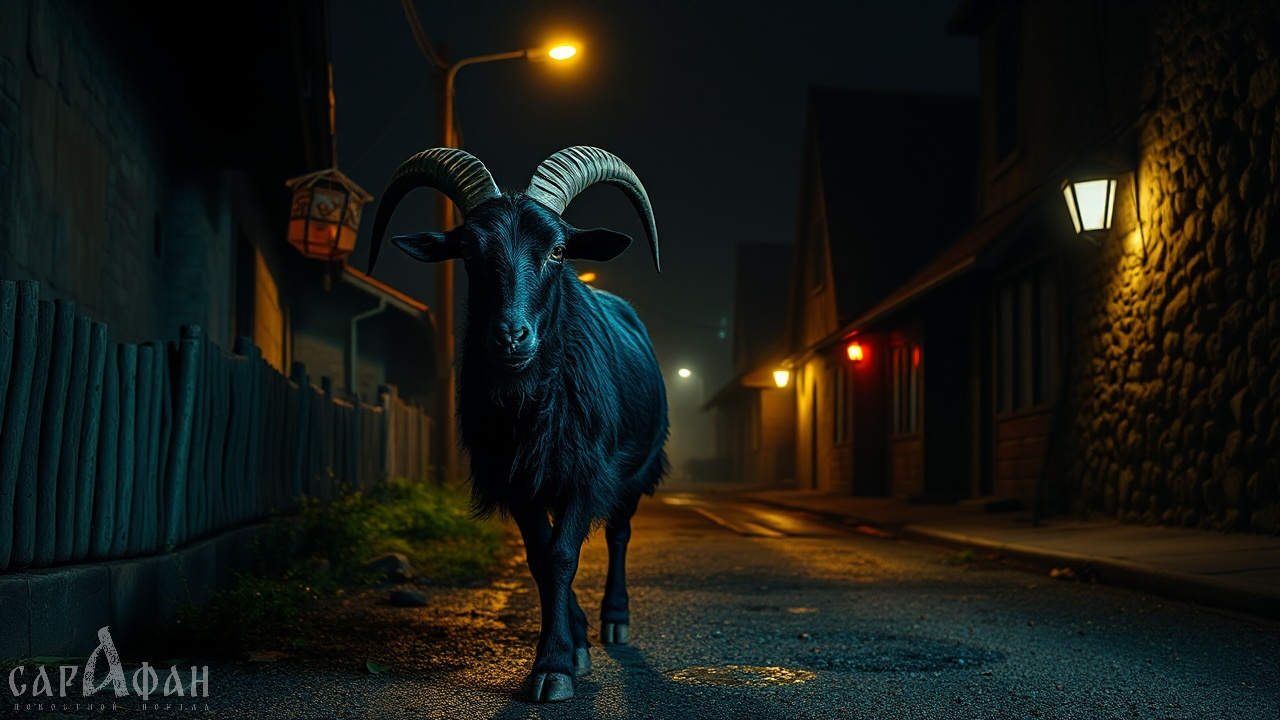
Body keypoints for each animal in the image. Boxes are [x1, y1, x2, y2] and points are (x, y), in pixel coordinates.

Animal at [367, 146, 670, 702]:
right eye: (467, 251)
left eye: (558, 251)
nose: (511, 336)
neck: (529, 404)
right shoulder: (517, 478)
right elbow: (541, 557)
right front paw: (566, 651)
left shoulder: (586, 471)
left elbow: (564, 556)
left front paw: (555, 668)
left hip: (637, 466)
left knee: (619, 533)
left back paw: (615, 618)